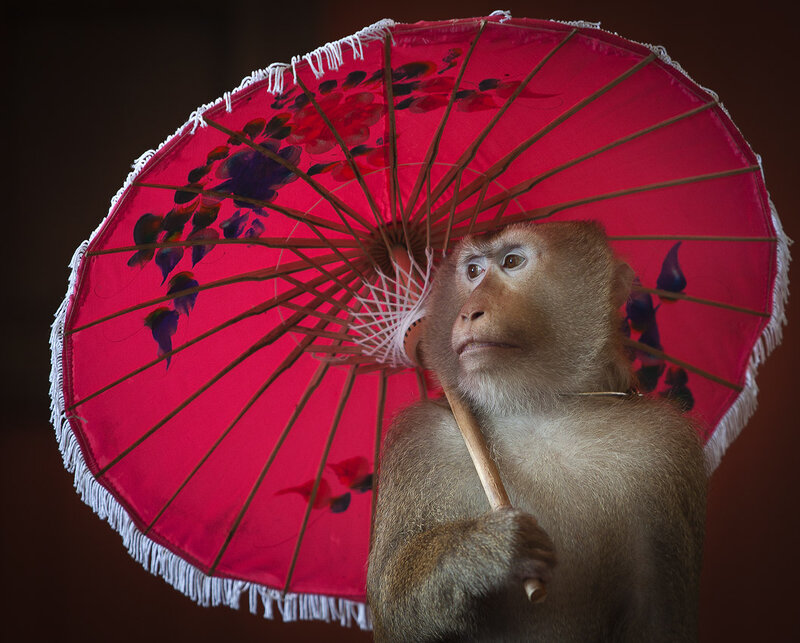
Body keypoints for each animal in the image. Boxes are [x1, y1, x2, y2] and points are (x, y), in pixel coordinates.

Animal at [366, 221, 707, 642]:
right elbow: (392, 610)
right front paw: (484, 552)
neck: (537, 407)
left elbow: (661, 619)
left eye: (512, 261)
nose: (468, 312)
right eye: (473, 271)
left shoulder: (667, 448)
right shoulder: (418, 441)